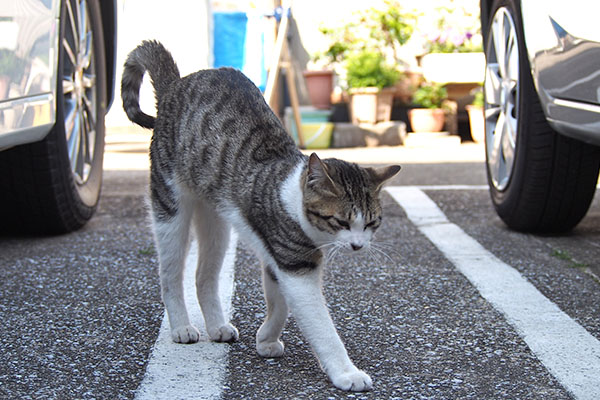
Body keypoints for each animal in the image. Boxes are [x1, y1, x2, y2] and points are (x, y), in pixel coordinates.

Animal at [120, 39, 400, 390]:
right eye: (341, 221)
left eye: (372, 223)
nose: (358, 246)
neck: (291, 197)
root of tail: (175, 84)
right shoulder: (295, 264)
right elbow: (320, 325)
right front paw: (347, 373)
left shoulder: (276, 259)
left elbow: (279, 304)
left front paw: (266, 339)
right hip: (170, 210)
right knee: (170, 274)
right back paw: (182, 327)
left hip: (216, 223)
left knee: (204, 277)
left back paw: (217, 325)